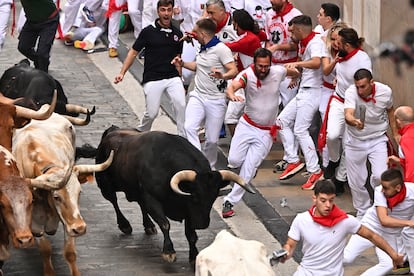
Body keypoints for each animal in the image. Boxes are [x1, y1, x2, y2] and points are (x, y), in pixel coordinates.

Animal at [95, 126, 254, 264]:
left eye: (213, 197)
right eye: (194, 196)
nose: (202, 224)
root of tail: (111, 131)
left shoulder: (188, 211)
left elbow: (191, 235)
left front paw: (194, 256)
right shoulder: (152, 199)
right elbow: (165, 224)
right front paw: (169, 252)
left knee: (140, 205)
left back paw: (149, 226)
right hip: (105, 184)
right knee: (114, 201)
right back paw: (125, 225)